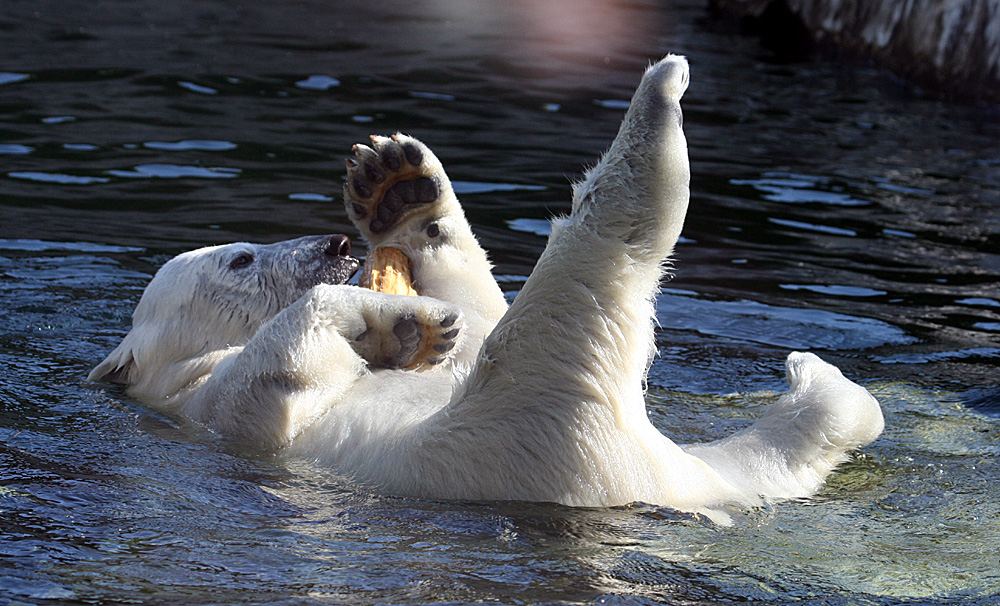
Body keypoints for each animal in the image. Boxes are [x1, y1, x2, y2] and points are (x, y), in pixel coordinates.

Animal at [88, 55, 884, 524]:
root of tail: (671, 487)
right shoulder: (216, 408)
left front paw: (398, 190)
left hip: (672, 459)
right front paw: (399, 321)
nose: (334, 246)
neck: (183, 378)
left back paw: (818, 379)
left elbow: (471, 321)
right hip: (533, 429)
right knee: (581, 280)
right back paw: (660, 95)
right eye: (241, 259)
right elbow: (282, 369)